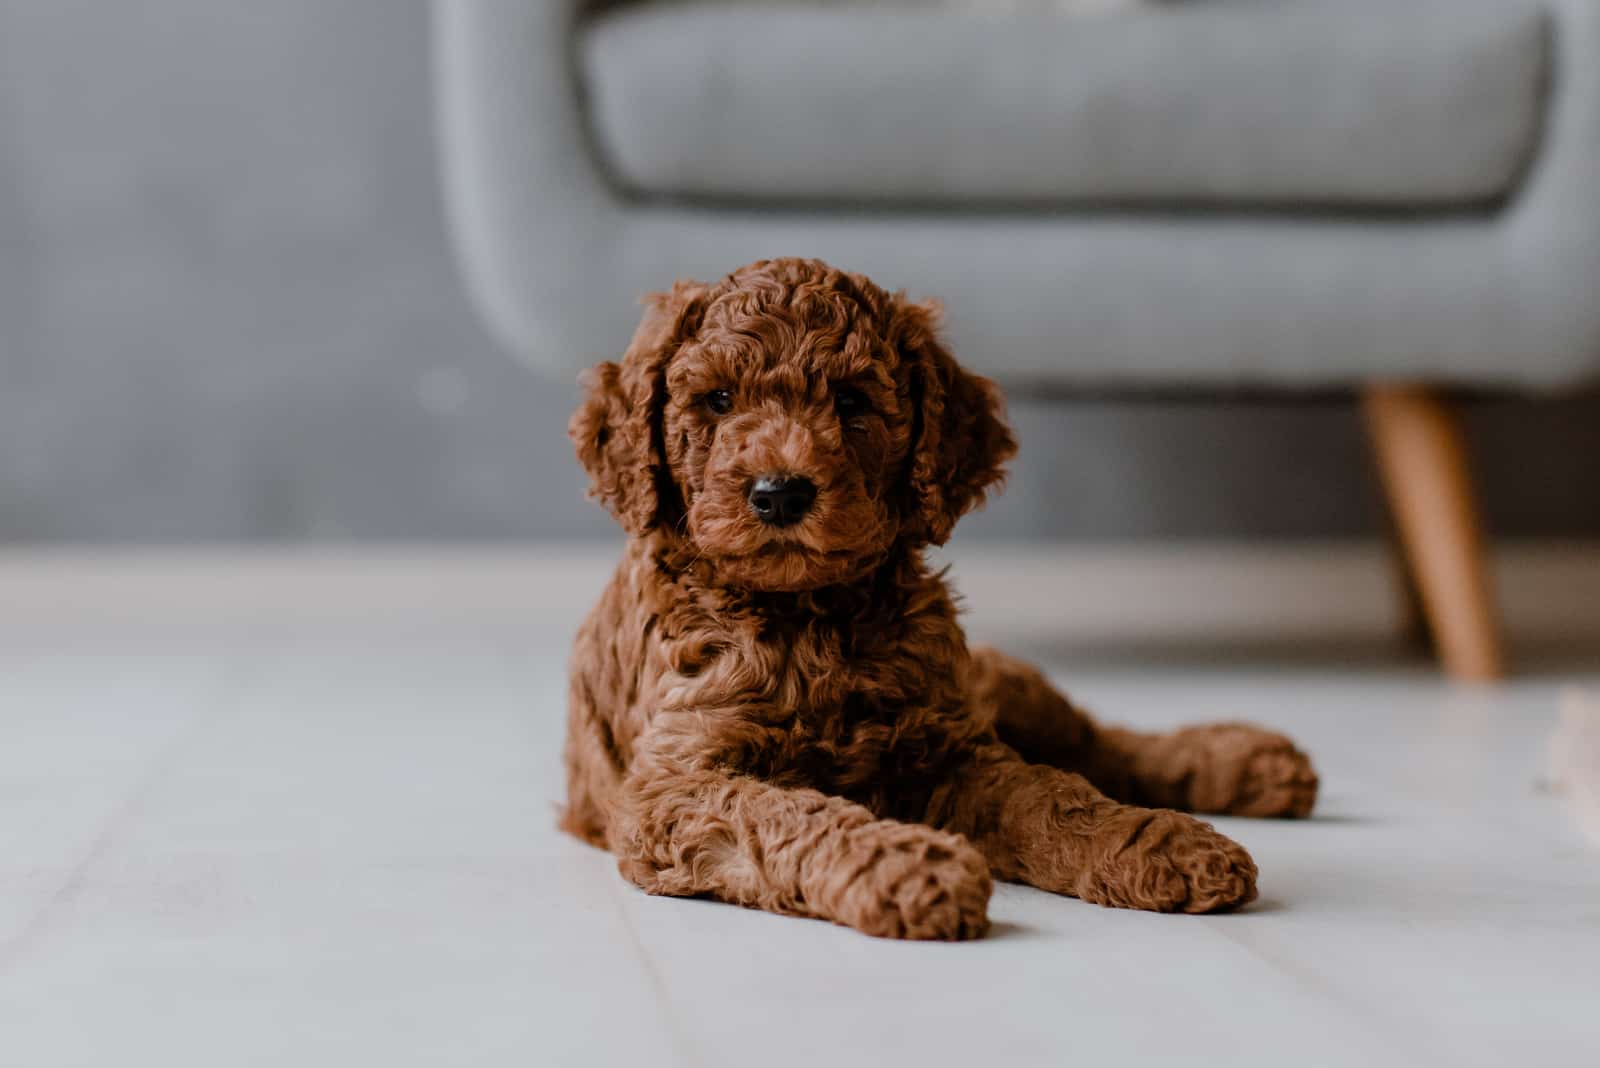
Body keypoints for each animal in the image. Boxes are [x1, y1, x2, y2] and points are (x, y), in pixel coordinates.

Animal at [569, 259, 1318, 940]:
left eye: (852, 402)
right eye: (719, 400)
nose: (779, 493)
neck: (811, 615)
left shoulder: (952, 748)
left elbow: (1051, 795)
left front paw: (1162, 841)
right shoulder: (674, 783)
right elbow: (789, 815)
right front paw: (908, 867)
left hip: (990, 687)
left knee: (1097, 743)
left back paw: (1254, 764)